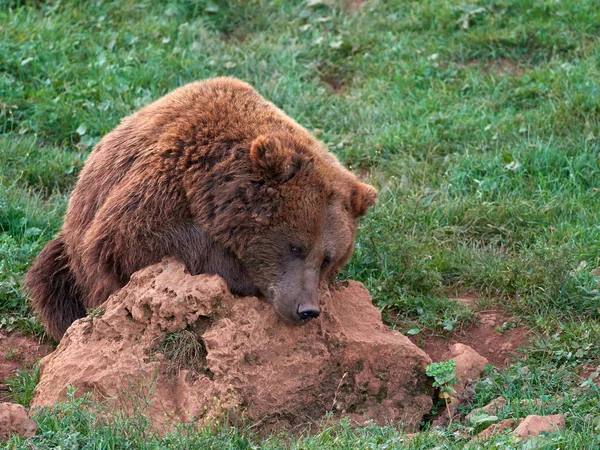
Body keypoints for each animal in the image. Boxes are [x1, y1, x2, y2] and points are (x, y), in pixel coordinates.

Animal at [28, 76, 378, 342]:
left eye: (328, 258)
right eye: (295, 247)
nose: (307, 309)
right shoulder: (164, 181)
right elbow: (131, 240)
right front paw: (240, 275)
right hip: (72, 256)